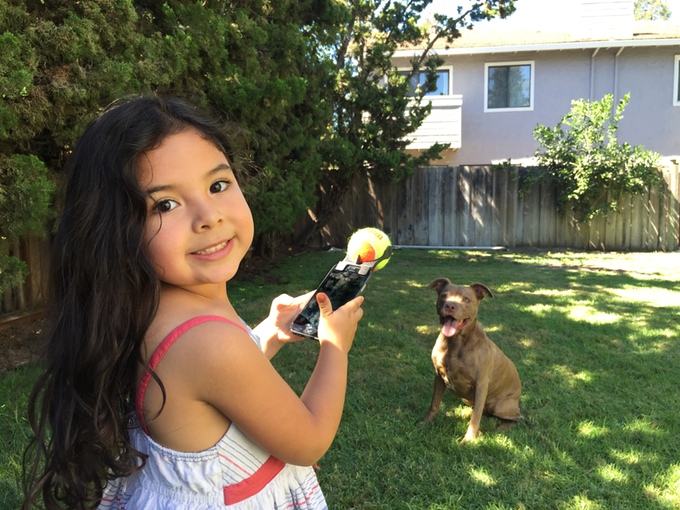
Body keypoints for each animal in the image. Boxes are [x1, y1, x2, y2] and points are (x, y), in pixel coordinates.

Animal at [420, 278, 520, 442]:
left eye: (466, 299)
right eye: (444, 296)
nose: (450, 306)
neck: (456, 343)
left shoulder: (480, 385)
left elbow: (475, 419)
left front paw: (468, 440)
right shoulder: (438, 376)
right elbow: (434, 403)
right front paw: (426, 423)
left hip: (500, 406)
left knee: (518, 418)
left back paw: (503, 426)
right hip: (467, 400)